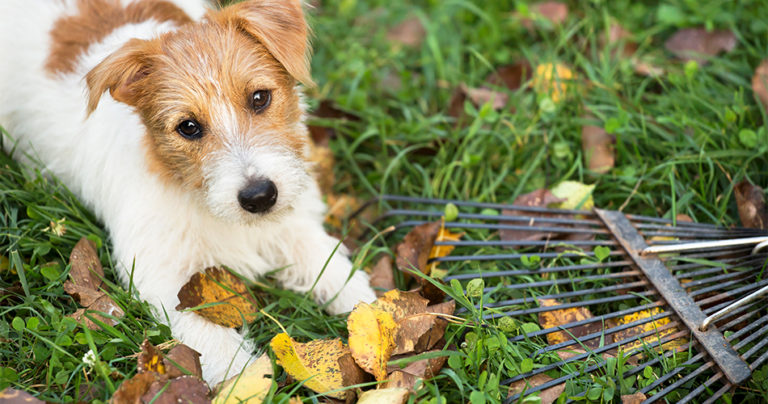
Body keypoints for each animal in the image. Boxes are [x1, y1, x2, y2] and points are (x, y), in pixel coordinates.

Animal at [0, 0, 376, 386]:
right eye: (189, 127)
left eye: (259, 98)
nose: (259, 197)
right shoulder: (164, 273)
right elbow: (213, 340)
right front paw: (241, 383)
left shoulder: (293, 222)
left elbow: (332, 267)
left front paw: (373, 318)